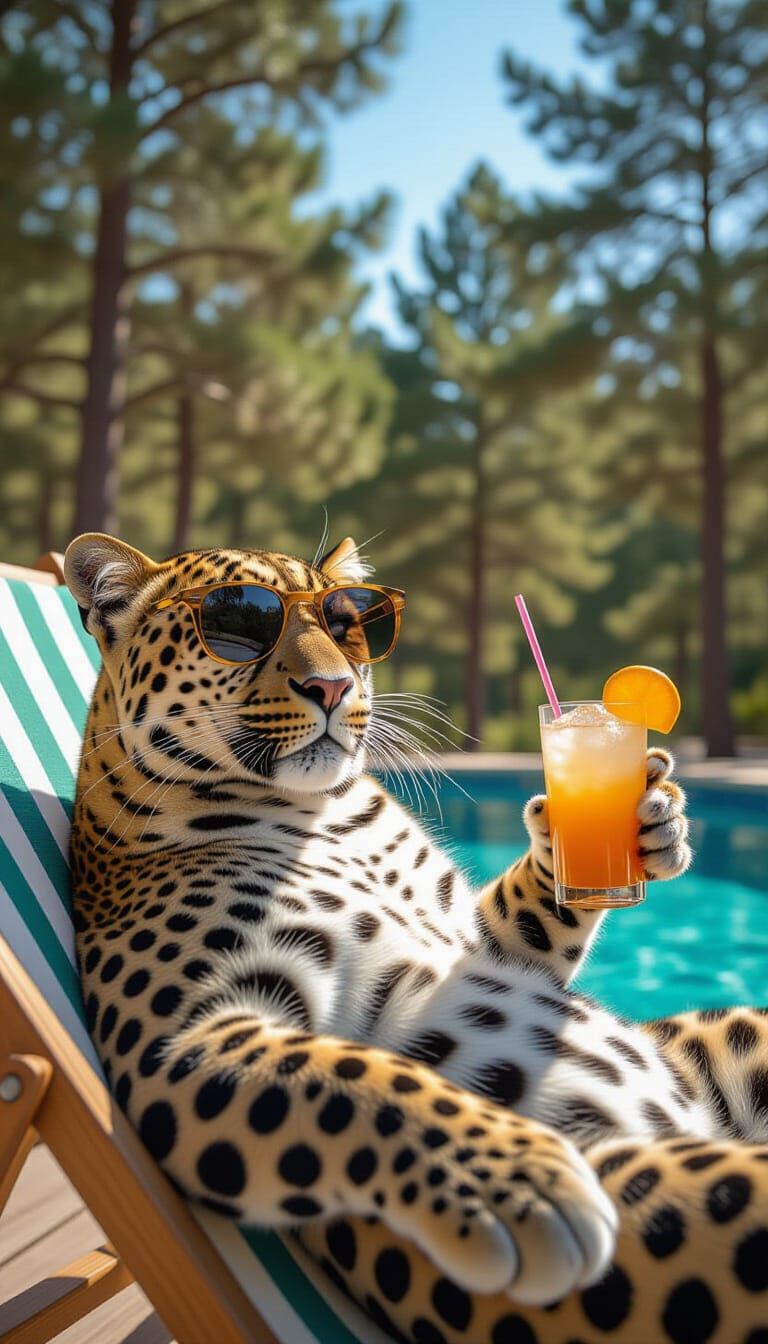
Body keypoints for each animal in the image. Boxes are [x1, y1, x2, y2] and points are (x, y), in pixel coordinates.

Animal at [65, 530, 768, 1344]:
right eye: (238, 622)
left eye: (348, 623)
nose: (334, 687)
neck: (325, 814)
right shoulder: (180, 1037)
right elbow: (360, 1079)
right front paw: (523, 1183)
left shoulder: (485, 943)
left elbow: (528, 919)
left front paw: (652, 815)